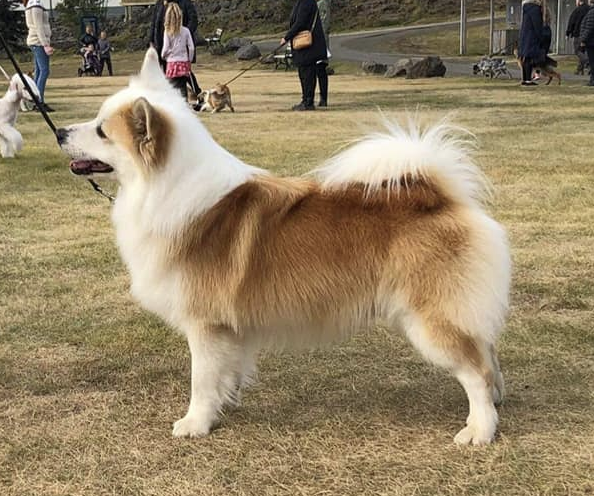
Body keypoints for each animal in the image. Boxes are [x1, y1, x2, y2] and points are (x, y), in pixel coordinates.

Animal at [56, 49, 508, 446]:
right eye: (95, 120)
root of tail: (442, 197)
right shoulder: (229, 329)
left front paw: (196, 422)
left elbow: (201, 379)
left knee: (476, 371)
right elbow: (227, 372)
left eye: (101, 130)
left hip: (431, 318)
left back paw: (479, 430)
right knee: (487, 354)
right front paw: (225, 404)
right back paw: (497, 404)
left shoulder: (204, 323)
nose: (59, 132)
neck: (166, 189)